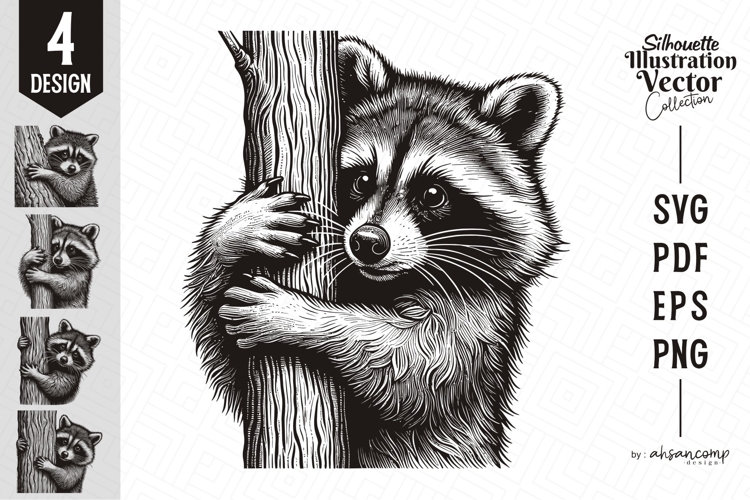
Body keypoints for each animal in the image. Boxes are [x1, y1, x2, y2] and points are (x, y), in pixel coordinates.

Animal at [186, 38, 562, 467]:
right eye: (363, 180)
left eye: (433, 194)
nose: (367, 242)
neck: (378, 282)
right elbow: (227, 358)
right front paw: (233, 230)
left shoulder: (480, 316)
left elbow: (415, 365)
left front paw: (299, 316)